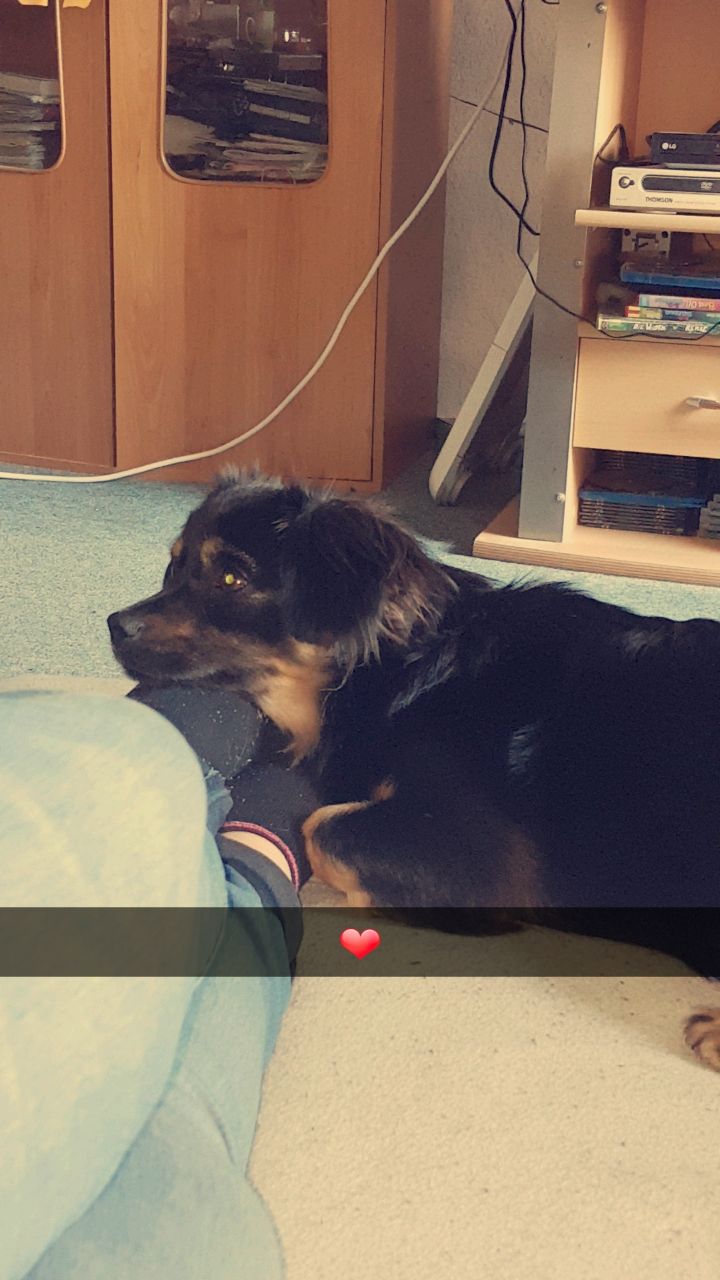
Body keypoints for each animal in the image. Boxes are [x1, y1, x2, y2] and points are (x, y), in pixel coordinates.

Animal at [108, 470, 720, 1069]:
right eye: (174, 566)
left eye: (231, 578)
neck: (398, 670)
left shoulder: (481, 859)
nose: (114, 625)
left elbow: (321, 828)